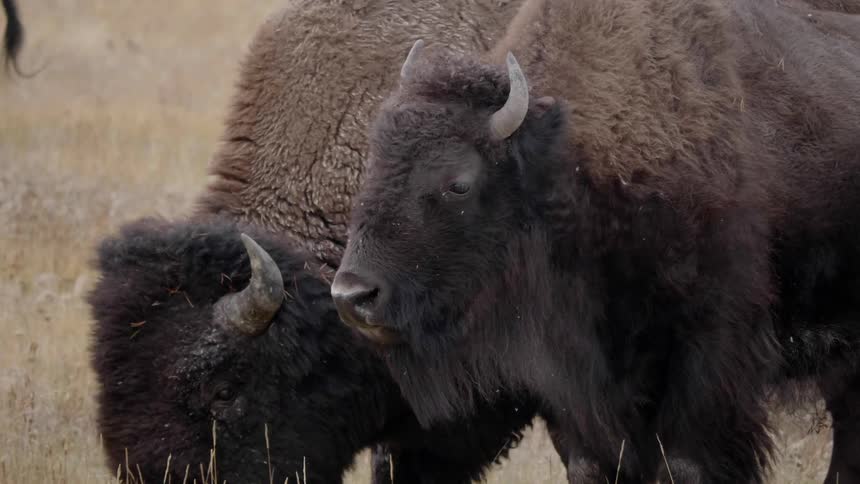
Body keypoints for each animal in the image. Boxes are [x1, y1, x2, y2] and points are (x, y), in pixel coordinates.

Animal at [332, 0, 860, 483]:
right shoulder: (568, 381)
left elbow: (685, 462)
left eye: (457, 182)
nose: (352, 295)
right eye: (373, 163)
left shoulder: (710, 347)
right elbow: (589, 462)